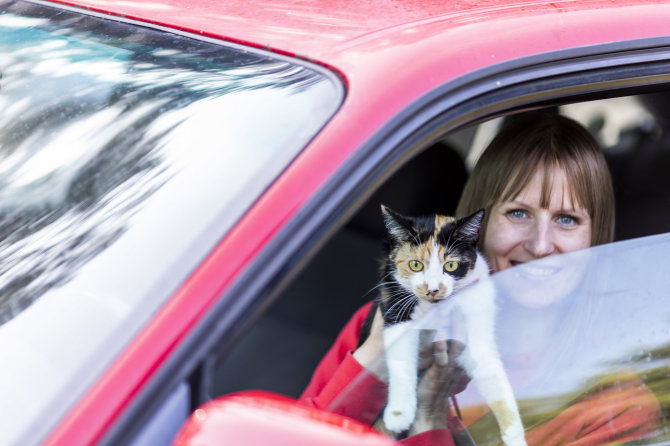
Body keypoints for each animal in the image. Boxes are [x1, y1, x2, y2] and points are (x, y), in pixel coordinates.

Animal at [362, 206, 524, 446]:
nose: (433, 289)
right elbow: (402, 362)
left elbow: (494, 377)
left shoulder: (477, 322)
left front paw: (515, 434)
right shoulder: (395, 309)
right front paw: (399, 414)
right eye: (415, 265)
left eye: (451, 265)